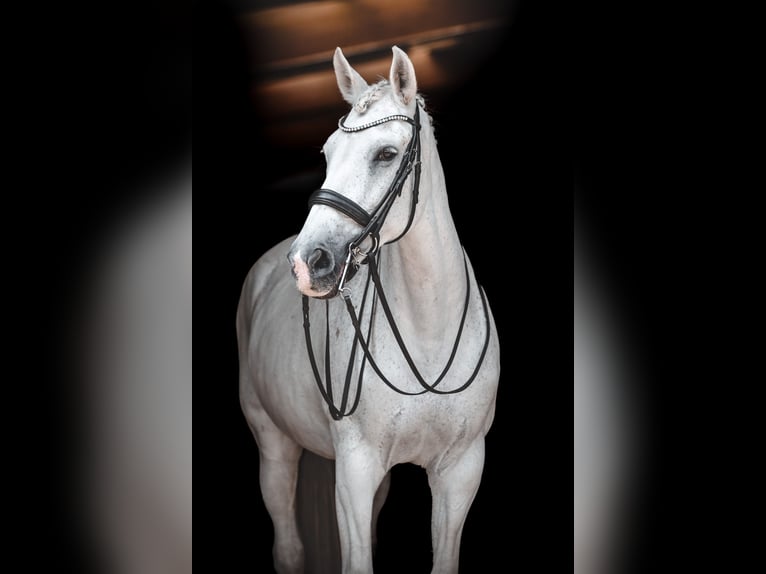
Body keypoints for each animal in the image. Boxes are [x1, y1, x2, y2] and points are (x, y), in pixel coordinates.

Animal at [237, 46, 500, 573]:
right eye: (327, 154)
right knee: (287, 542)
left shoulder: (461, 471)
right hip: (273, 444)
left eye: (386, 154)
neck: (428, 340)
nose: (308, 261)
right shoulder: (355, 473)